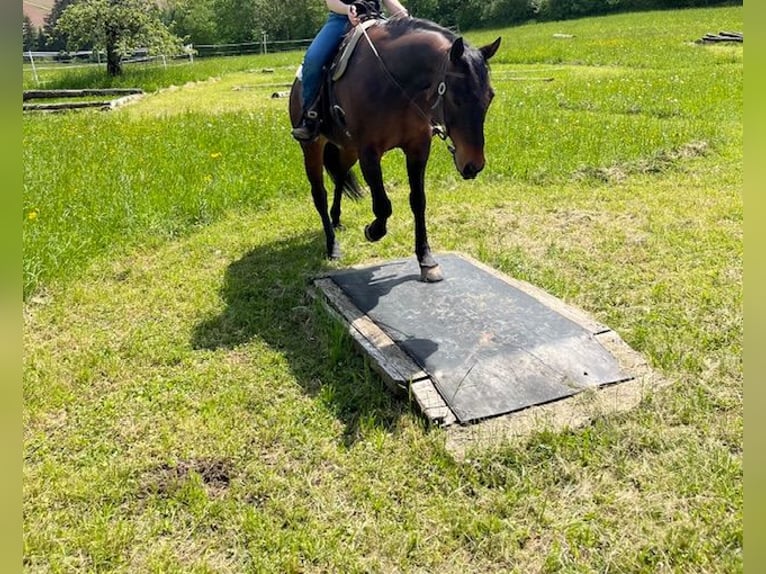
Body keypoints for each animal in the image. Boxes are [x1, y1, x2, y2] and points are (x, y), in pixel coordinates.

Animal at [289, 15, 501, 282]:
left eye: (490, 96)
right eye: (456, 98)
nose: (473, 164)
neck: (397, 84)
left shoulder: (417, 148)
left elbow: (418, 201)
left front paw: (426, 260)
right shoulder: (369, 153)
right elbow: (383, 205)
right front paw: (372, 231)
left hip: (347, 150)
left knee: (339, 178)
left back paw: (336, 220)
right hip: (312, 147)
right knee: (319, 193)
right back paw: (333, 245)